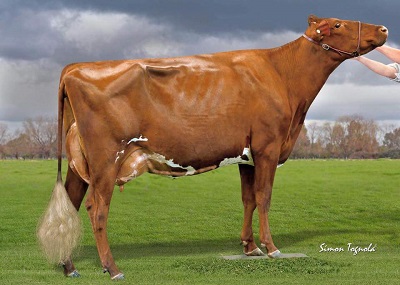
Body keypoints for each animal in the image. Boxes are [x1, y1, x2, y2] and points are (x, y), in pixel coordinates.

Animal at [37, 14, 388, 278]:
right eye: (339, 24)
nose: (384, 29)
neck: (283, 75)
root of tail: (74, 67)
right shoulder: (268, 146)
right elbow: (265, 197)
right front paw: (272, 248)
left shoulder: (247, 155)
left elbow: (248, 199)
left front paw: (250, 247)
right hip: (106, 159)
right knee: (96, 208)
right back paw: (112, 268)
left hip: (79, 163)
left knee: (72, 202)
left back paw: (68, 267)